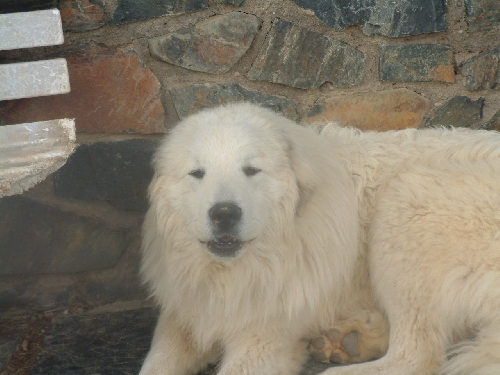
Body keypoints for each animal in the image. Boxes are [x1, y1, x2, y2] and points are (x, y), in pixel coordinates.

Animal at [139, 103, 500, 375]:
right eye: (197, 173)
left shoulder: (264, 337)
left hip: (404, 199)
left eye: (251, 170)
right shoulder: (185, 312)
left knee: (417, 356)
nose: (224, 213)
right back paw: (349, 339)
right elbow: (156, 364)